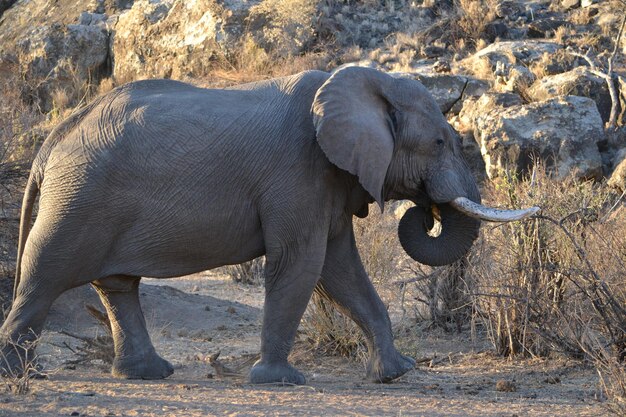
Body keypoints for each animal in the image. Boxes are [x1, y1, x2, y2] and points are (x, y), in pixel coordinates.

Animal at [0, 66, 536, 384]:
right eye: (441, 143)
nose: (425, 210)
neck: (362, 83)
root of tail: (54, 138)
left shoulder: (328, 182)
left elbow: (342, 269)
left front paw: (397, 374)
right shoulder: (298, 172)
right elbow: (301, 264)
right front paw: (279, 380)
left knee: (116, 284)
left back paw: (147, 374)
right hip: (79, 197)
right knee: (45, 275)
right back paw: (19, 375)